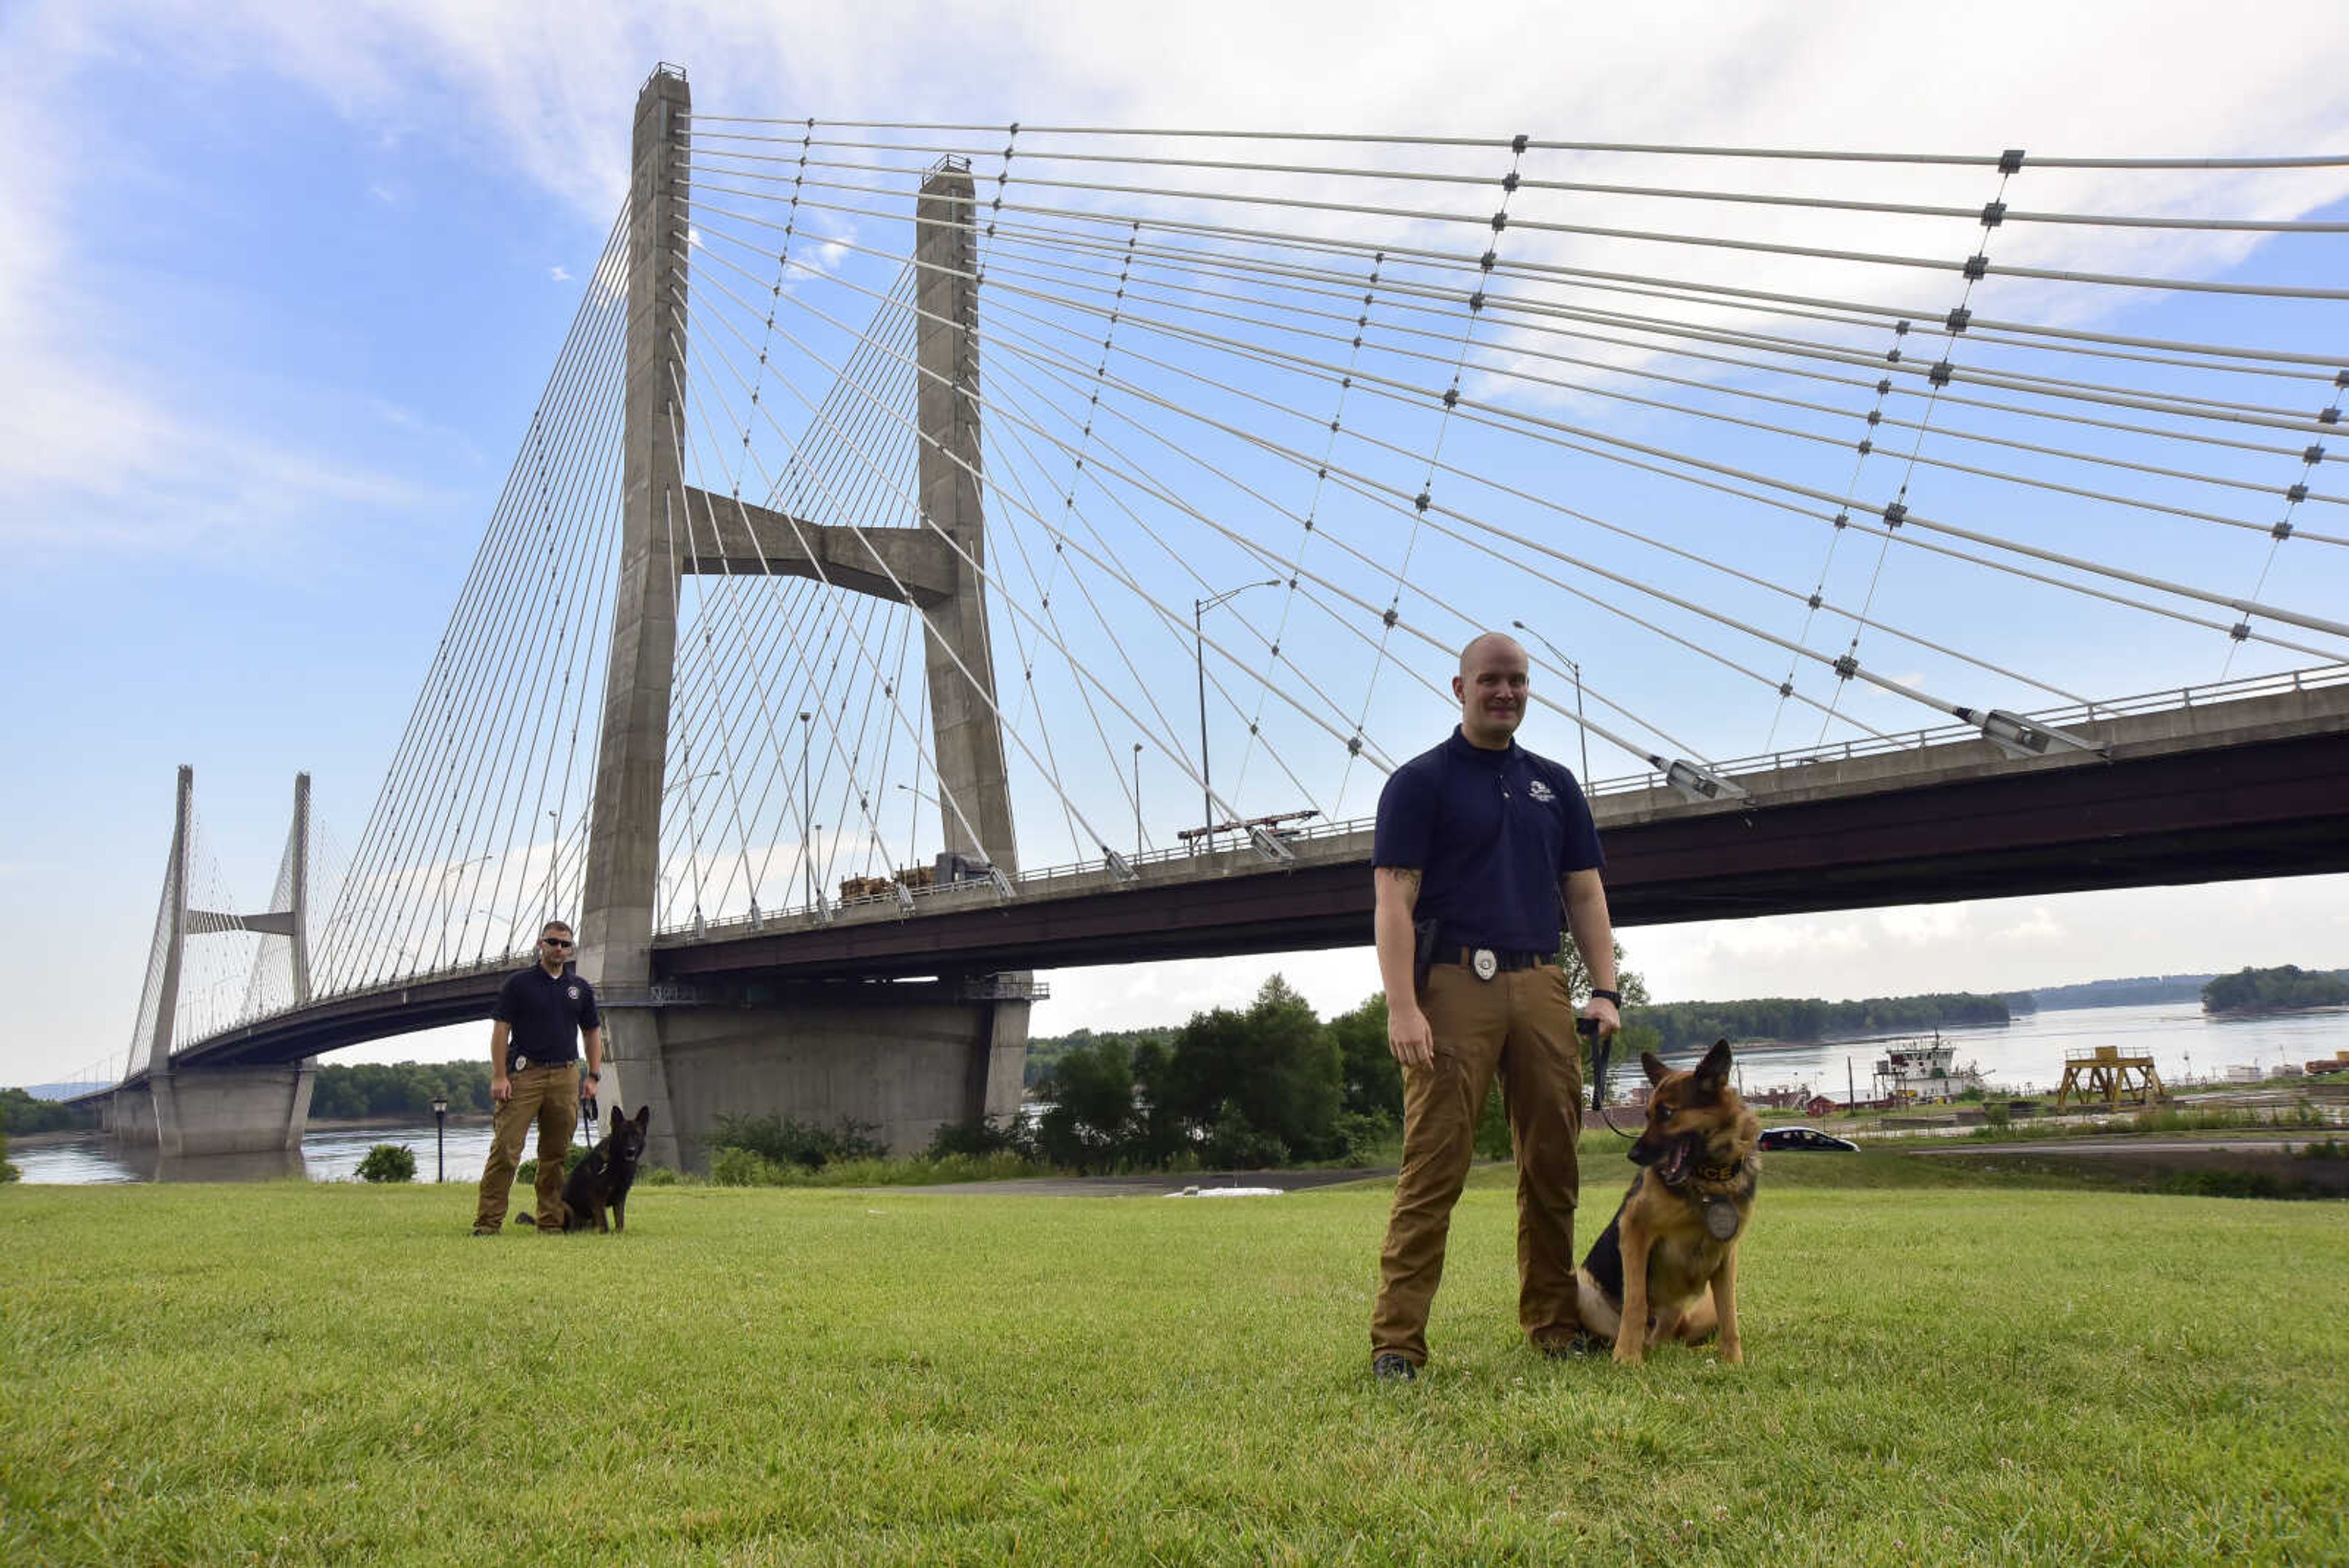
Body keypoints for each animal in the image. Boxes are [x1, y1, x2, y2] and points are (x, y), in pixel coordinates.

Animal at [519, 1105, 653, 1241]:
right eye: (623, 1135)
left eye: (636, 1135)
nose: (631, 1151)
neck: (616, 1163)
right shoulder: (598, 1198)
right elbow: (604, 1222)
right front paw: (606, 1235)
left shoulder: (620, 1198)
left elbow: (620, 1220)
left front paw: (619, 1234)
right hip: (566, 1207)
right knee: (571, 1228)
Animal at [1578, 1044, 1766, 1363]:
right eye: (1647, 1114)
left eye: (1666, 1113)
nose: (1633, 1155)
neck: (1707, 1181)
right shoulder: (1634, 1231)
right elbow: (1636, 1302)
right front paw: (1627, 1359)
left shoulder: (1727, 1255)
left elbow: (1729, 1314)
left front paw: (1734, 1362)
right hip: (1581, 1287)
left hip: (1697, 1310)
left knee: (1676, 1340)